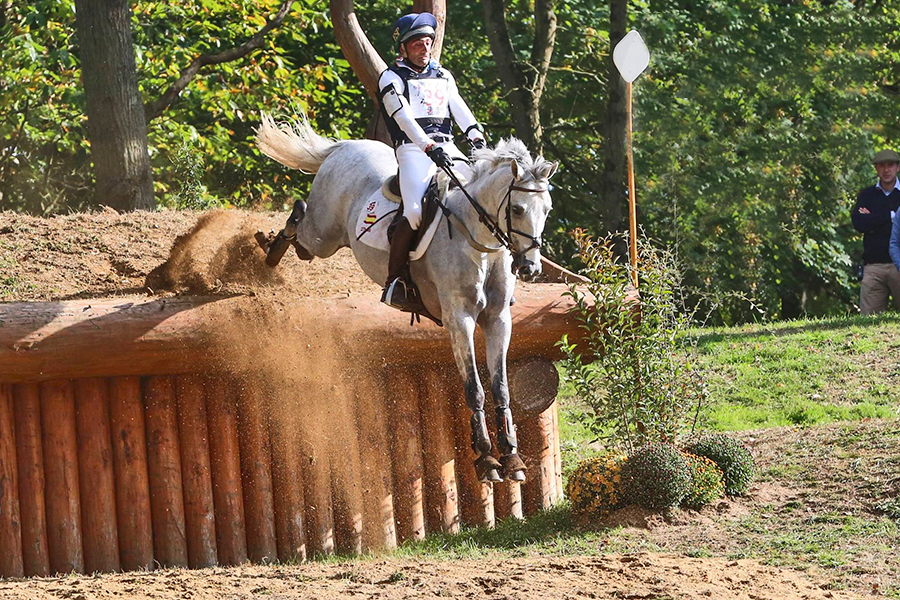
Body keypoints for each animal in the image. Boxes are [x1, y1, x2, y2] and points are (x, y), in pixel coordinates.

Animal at [253, 115, 560, 482]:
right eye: (516, 208)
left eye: (547, 210)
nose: (529, 268)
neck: (480, 244)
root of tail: (345, 146)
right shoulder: (459, 320)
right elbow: (474, 387)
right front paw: (486, 459)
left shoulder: (498, 319)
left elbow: (501, 386)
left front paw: (511, 457)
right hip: (323, 235)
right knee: (300, 222)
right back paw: (269, 249)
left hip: (328, 238)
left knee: (302, 241)